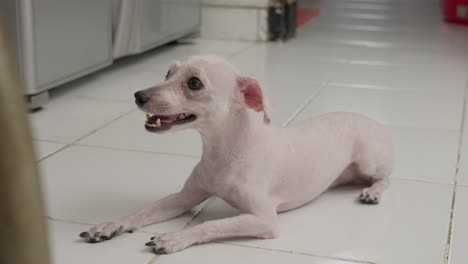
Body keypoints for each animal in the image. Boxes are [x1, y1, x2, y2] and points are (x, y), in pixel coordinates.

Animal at [78, 54, 394, 255]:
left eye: (194, 83)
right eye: (168, 73)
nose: (139, 96)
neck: (225, 152)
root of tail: (373, 120)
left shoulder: (264, 219)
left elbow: (211, 224)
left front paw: (175, 237)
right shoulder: (184, 198)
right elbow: (144, 211)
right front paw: (110, 225)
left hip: (368, 158)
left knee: (386, 177)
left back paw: (373, 191)